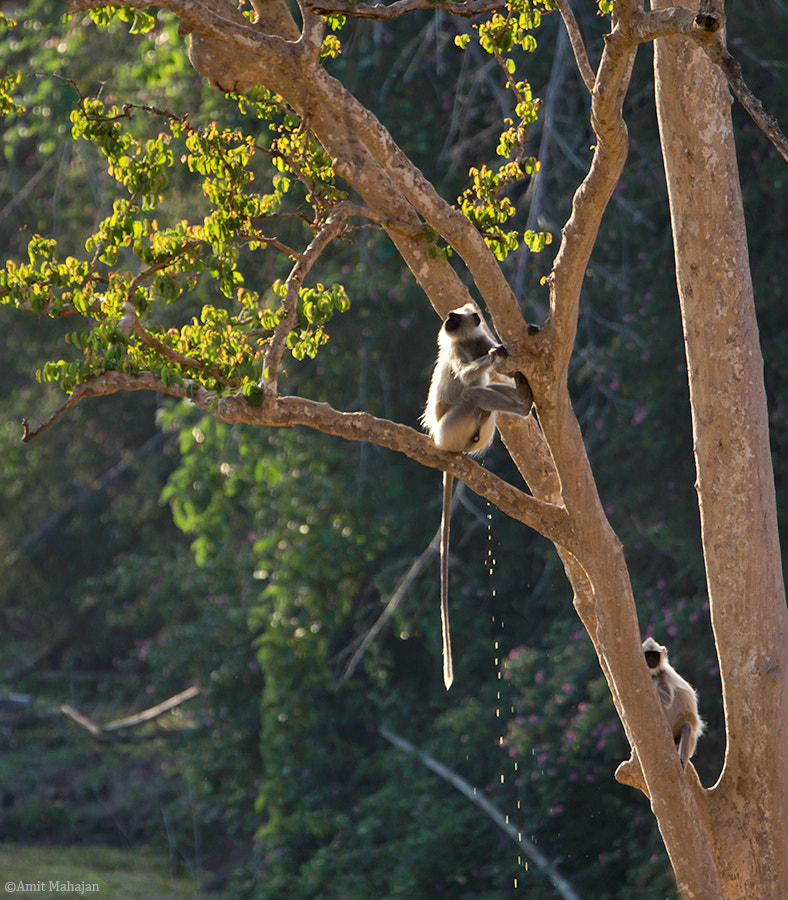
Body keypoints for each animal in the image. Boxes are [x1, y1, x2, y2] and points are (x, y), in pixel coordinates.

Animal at [421, 303, 533, 689]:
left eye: (457, 317)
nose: (448, 319)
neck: (468, 343)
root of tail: (440, 444)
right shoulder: (458, 353)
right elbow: (469, 372)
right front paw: (494, 356)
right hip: (451, 430)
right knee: (474, 395)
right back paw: (523, 404)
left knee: (486, 394)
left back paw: (522, 400)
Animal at [643, 636, 704, 768]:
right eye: (648, 655)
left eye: (655, 655)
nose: (651, 660)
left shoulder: (663, 675)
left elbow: (667, 700)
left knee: (687, 726)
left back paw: (682, 762)